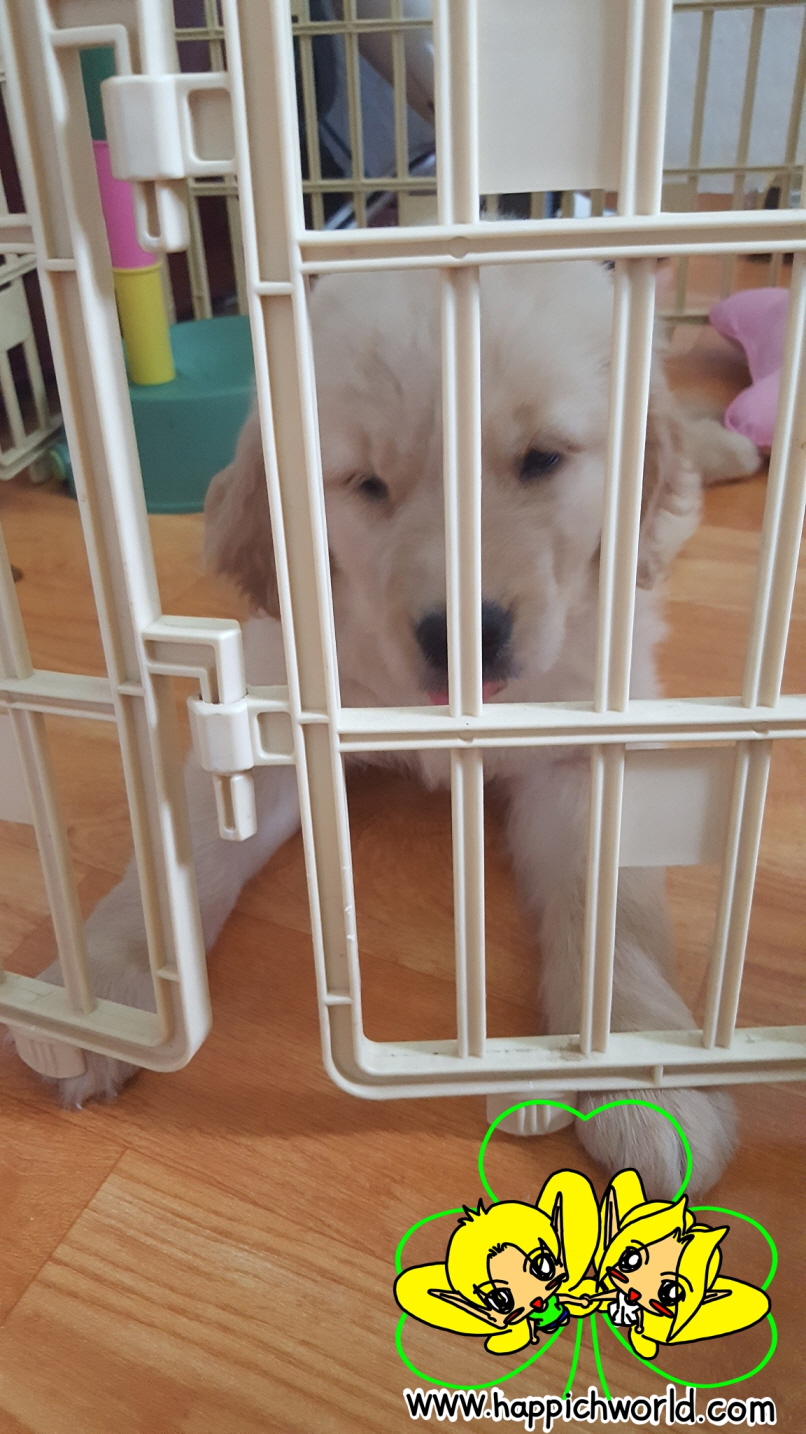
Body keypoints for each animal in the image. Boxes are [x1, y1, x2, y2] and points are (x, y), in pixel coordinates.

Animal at [41, 261, 759, 1194]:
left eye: (542, 460)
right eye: (366, 484)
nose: (464, 637)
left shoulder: (583, 749)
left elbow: (613, 913)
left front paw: (648, 1078)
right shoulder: (277, 719)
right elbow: (190, 848)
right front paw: (112, 991)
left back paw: (730, 448)